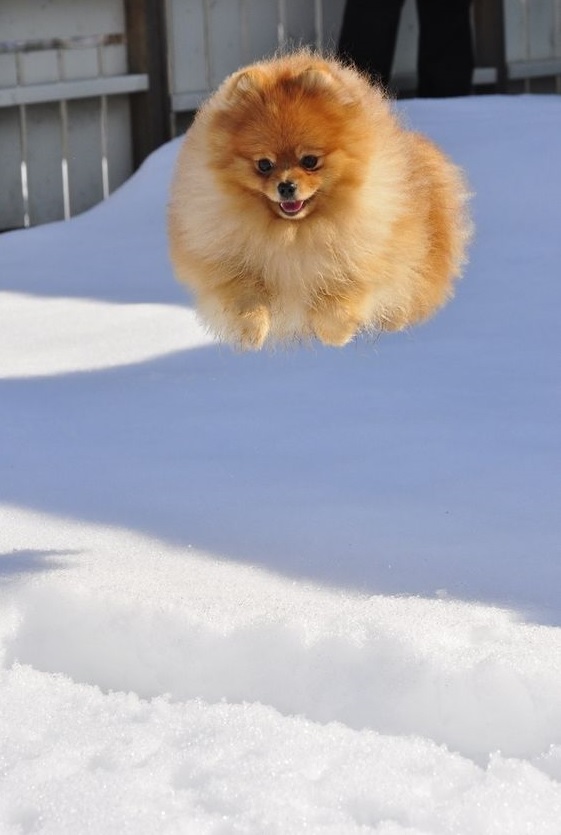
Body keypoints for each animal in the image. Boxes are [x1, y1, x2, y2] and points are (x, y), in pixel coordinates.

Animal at [168, 49, 470, 350]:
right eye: (264, 165)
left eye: (310, 161)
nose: (286, 186)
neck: (292, 234)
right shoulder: (228, 258)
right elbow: (245, 296)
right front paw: (250, 333)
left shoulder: (360, 255)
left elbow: (339, 298)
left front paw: (335, 335)